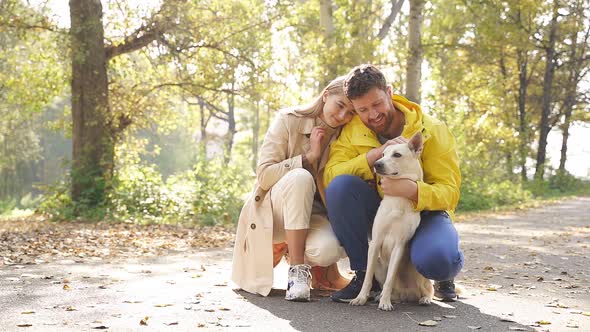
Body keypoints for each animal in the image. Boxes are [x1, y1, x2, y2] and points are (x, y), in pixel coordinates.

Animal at [352, 132, 434, 312]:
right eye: (382, 154)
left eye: (397, 155)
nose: (377, 164)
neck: (398, 199)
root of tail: (407, 295)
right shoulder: (375, 243)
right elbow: (367, 277)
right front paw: (361, 298)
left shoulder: (399, 246)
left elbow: (391, 278)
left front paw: (385, 302)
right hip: (379, 267)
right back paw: (381, 296)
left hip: (420, 275)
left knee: (428, 289)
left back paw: (424, 298)